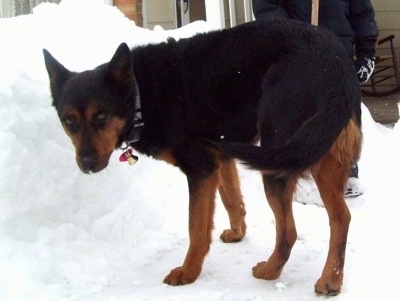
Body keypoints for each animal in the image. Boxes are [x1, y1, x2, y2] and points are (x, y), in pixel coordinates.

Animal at [43, 19, 362, 294]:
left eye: (101, 116)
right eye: (68, 121)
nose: (87, 165)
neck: (139, 94)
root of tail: (335, 64)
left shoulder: (201, 166)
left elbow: (196, 226)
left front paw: (188, 271)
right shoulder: (220, 157)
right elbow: (232, 201)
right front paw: (237, 232)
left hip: (281, 158)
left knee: (289, 232)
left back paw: (271, 270)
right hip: (318, 153)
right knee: (341, 217)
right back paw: (331, 279)